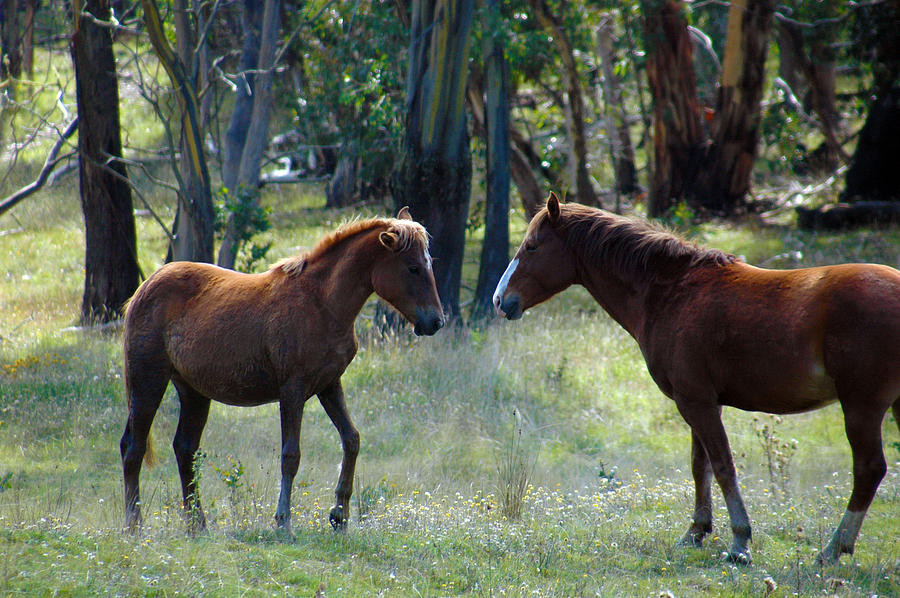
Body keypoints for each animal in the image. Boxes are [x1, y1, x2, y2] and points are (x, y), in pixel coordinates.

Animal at [119, 210, 442, 536]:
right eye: (413, 268)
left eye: (429, 264)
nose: (436, 322)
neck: (321, 303)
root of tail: (143, 288)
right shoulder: (293, 391)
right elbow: (291, 455)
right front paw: (283, 521)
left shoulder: (329, 385)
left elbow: (351, 440)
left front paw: (339, 515)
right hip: (148, 381)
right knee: (133, 448)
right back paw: (134, 525)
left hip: (193, 392)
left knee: (184, 449)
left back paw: (197, 525)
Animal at [492, 195, 900, 564]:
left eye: (531, 246)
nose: (499, 300)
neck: (672, 290)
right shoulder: (699, 403)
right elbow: (699, 466)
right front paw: (697, 531)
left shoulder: (697, 403)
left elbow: (722, 467)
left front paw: (739, 542)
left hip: (861, 409)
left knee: (868, 470)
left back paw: (834, 548)